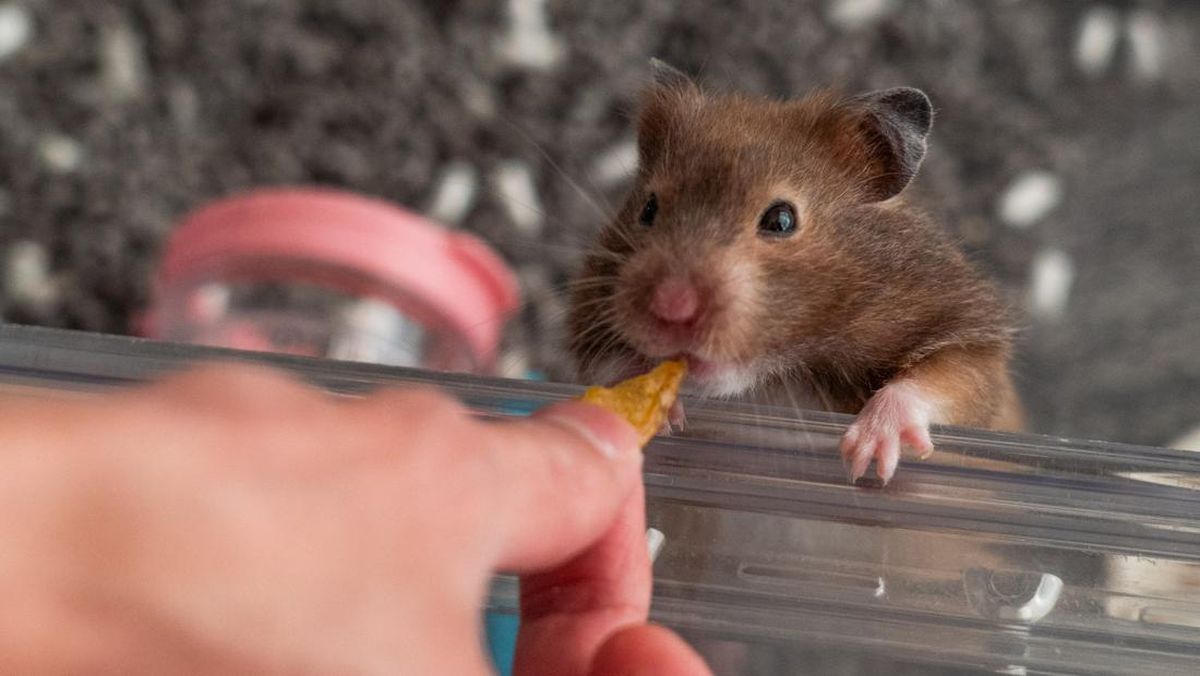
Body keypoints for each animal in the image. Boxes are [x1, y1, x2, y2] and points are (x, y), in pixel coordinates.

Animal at [568, 60, 1023, 484]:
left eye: (782, 220)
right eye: (648, 209)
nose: (671, 306)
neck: (780, 375)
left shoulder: (971, 338)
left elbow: (947, 379)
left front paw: (865, 457)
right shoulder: (588, 319)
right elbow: (604, 362)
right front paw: (651, 405)